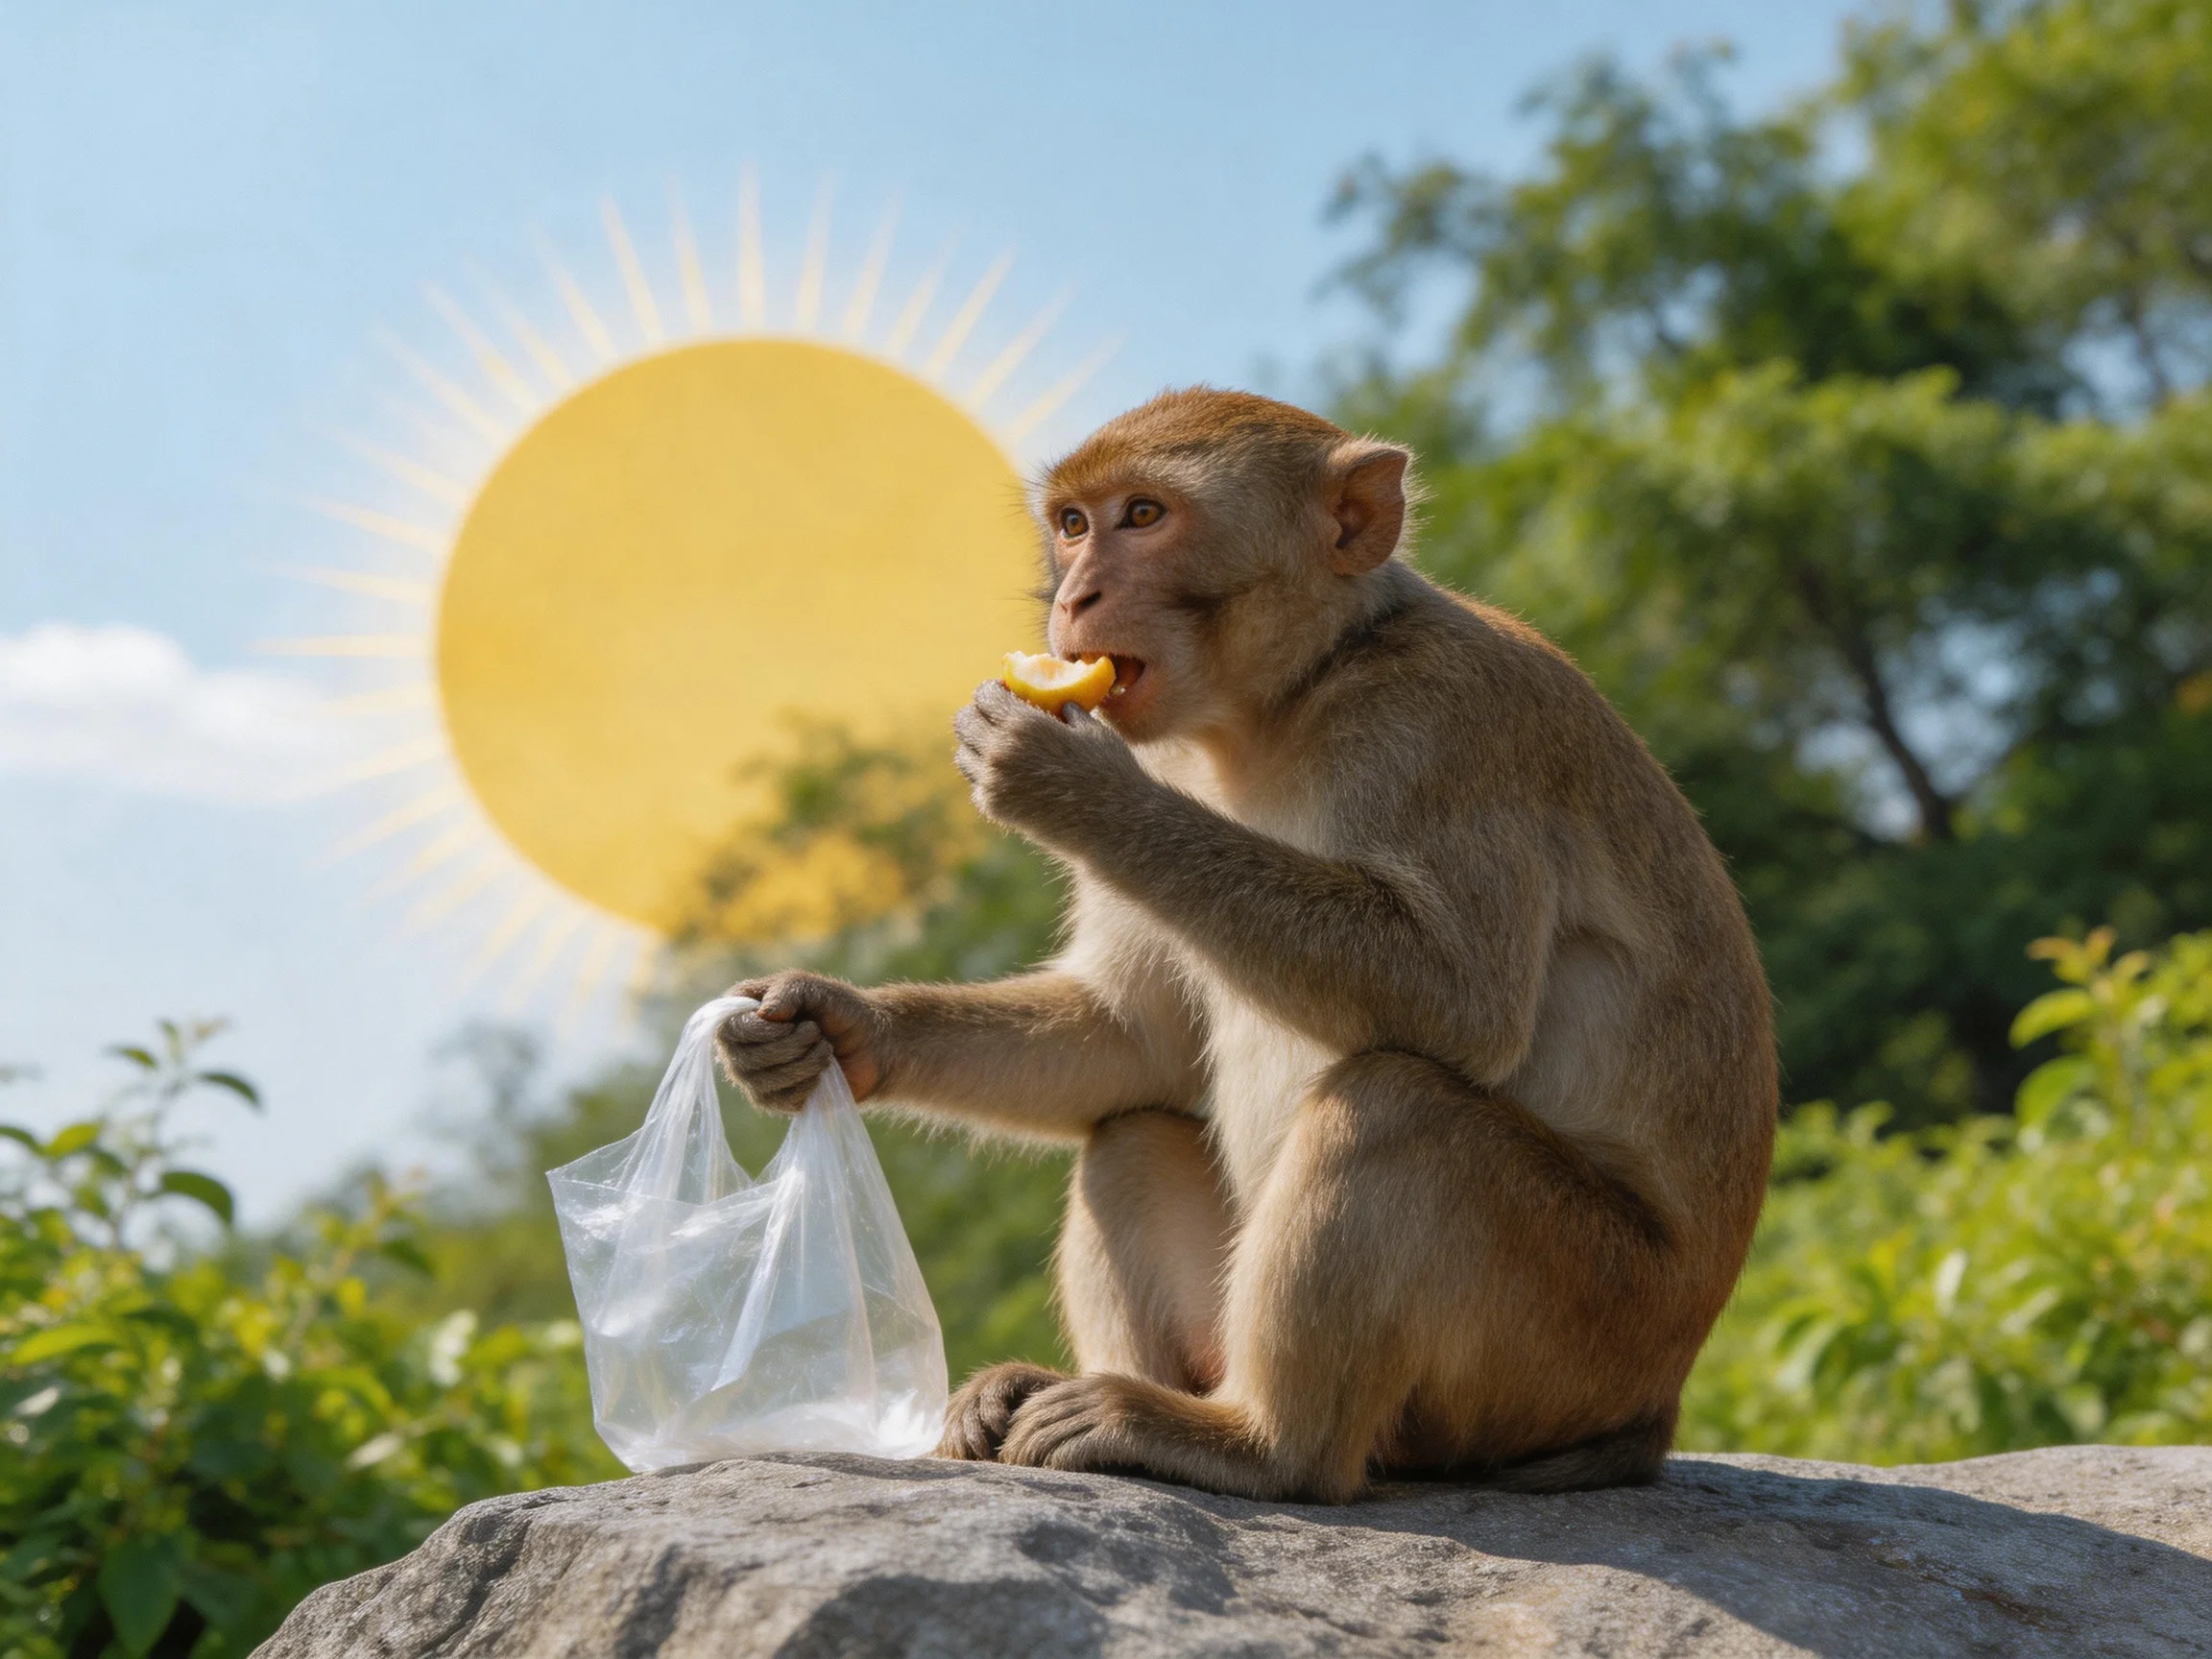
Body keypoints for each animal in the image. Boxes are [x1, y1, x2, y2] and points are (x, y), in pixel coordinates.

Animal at [718, 387, 1775, 1503]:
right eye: (1074, 523)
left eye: (1144, 515)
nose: (1075, 596)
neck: (1289, 697)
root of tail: (1653, 1406)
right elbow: (1135, 1039)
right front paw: (834, 1028)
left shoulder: (1441, 722)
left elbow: (1462, 1004)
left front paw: (1070, 786)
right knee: (1131, 1131)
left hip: (1574, 1336)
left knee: (1395, 1107)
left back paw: (1258, 1445)